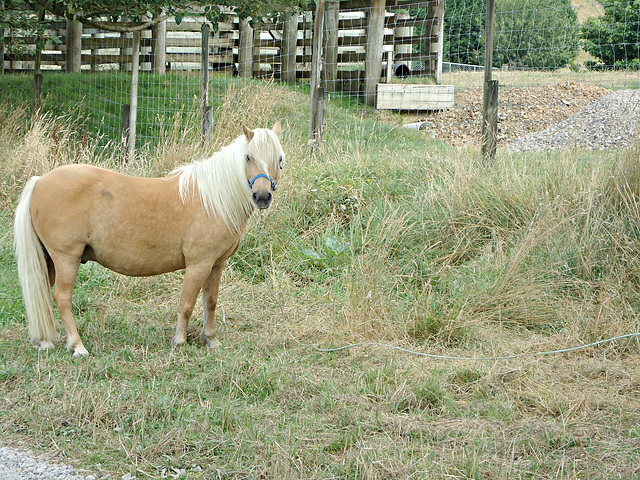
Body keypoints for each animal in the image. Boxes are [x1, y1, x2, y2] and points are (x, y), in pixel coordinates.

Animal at [11, 124, 282, 356]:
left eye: (279, 159)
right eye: (248, 157)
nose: (262, 197)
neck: (213, 199)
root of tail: (41, 181)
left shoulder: (216, 264)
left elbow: (210, 302)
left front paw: (210, 340)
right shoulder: (199, 264)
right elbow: (187, 303)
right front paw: (179, 341)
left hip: (49, 259)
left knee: (44, 294)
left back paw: (45, 342)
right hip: (66, 258)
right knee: (62, 298)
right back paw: (77, 346)